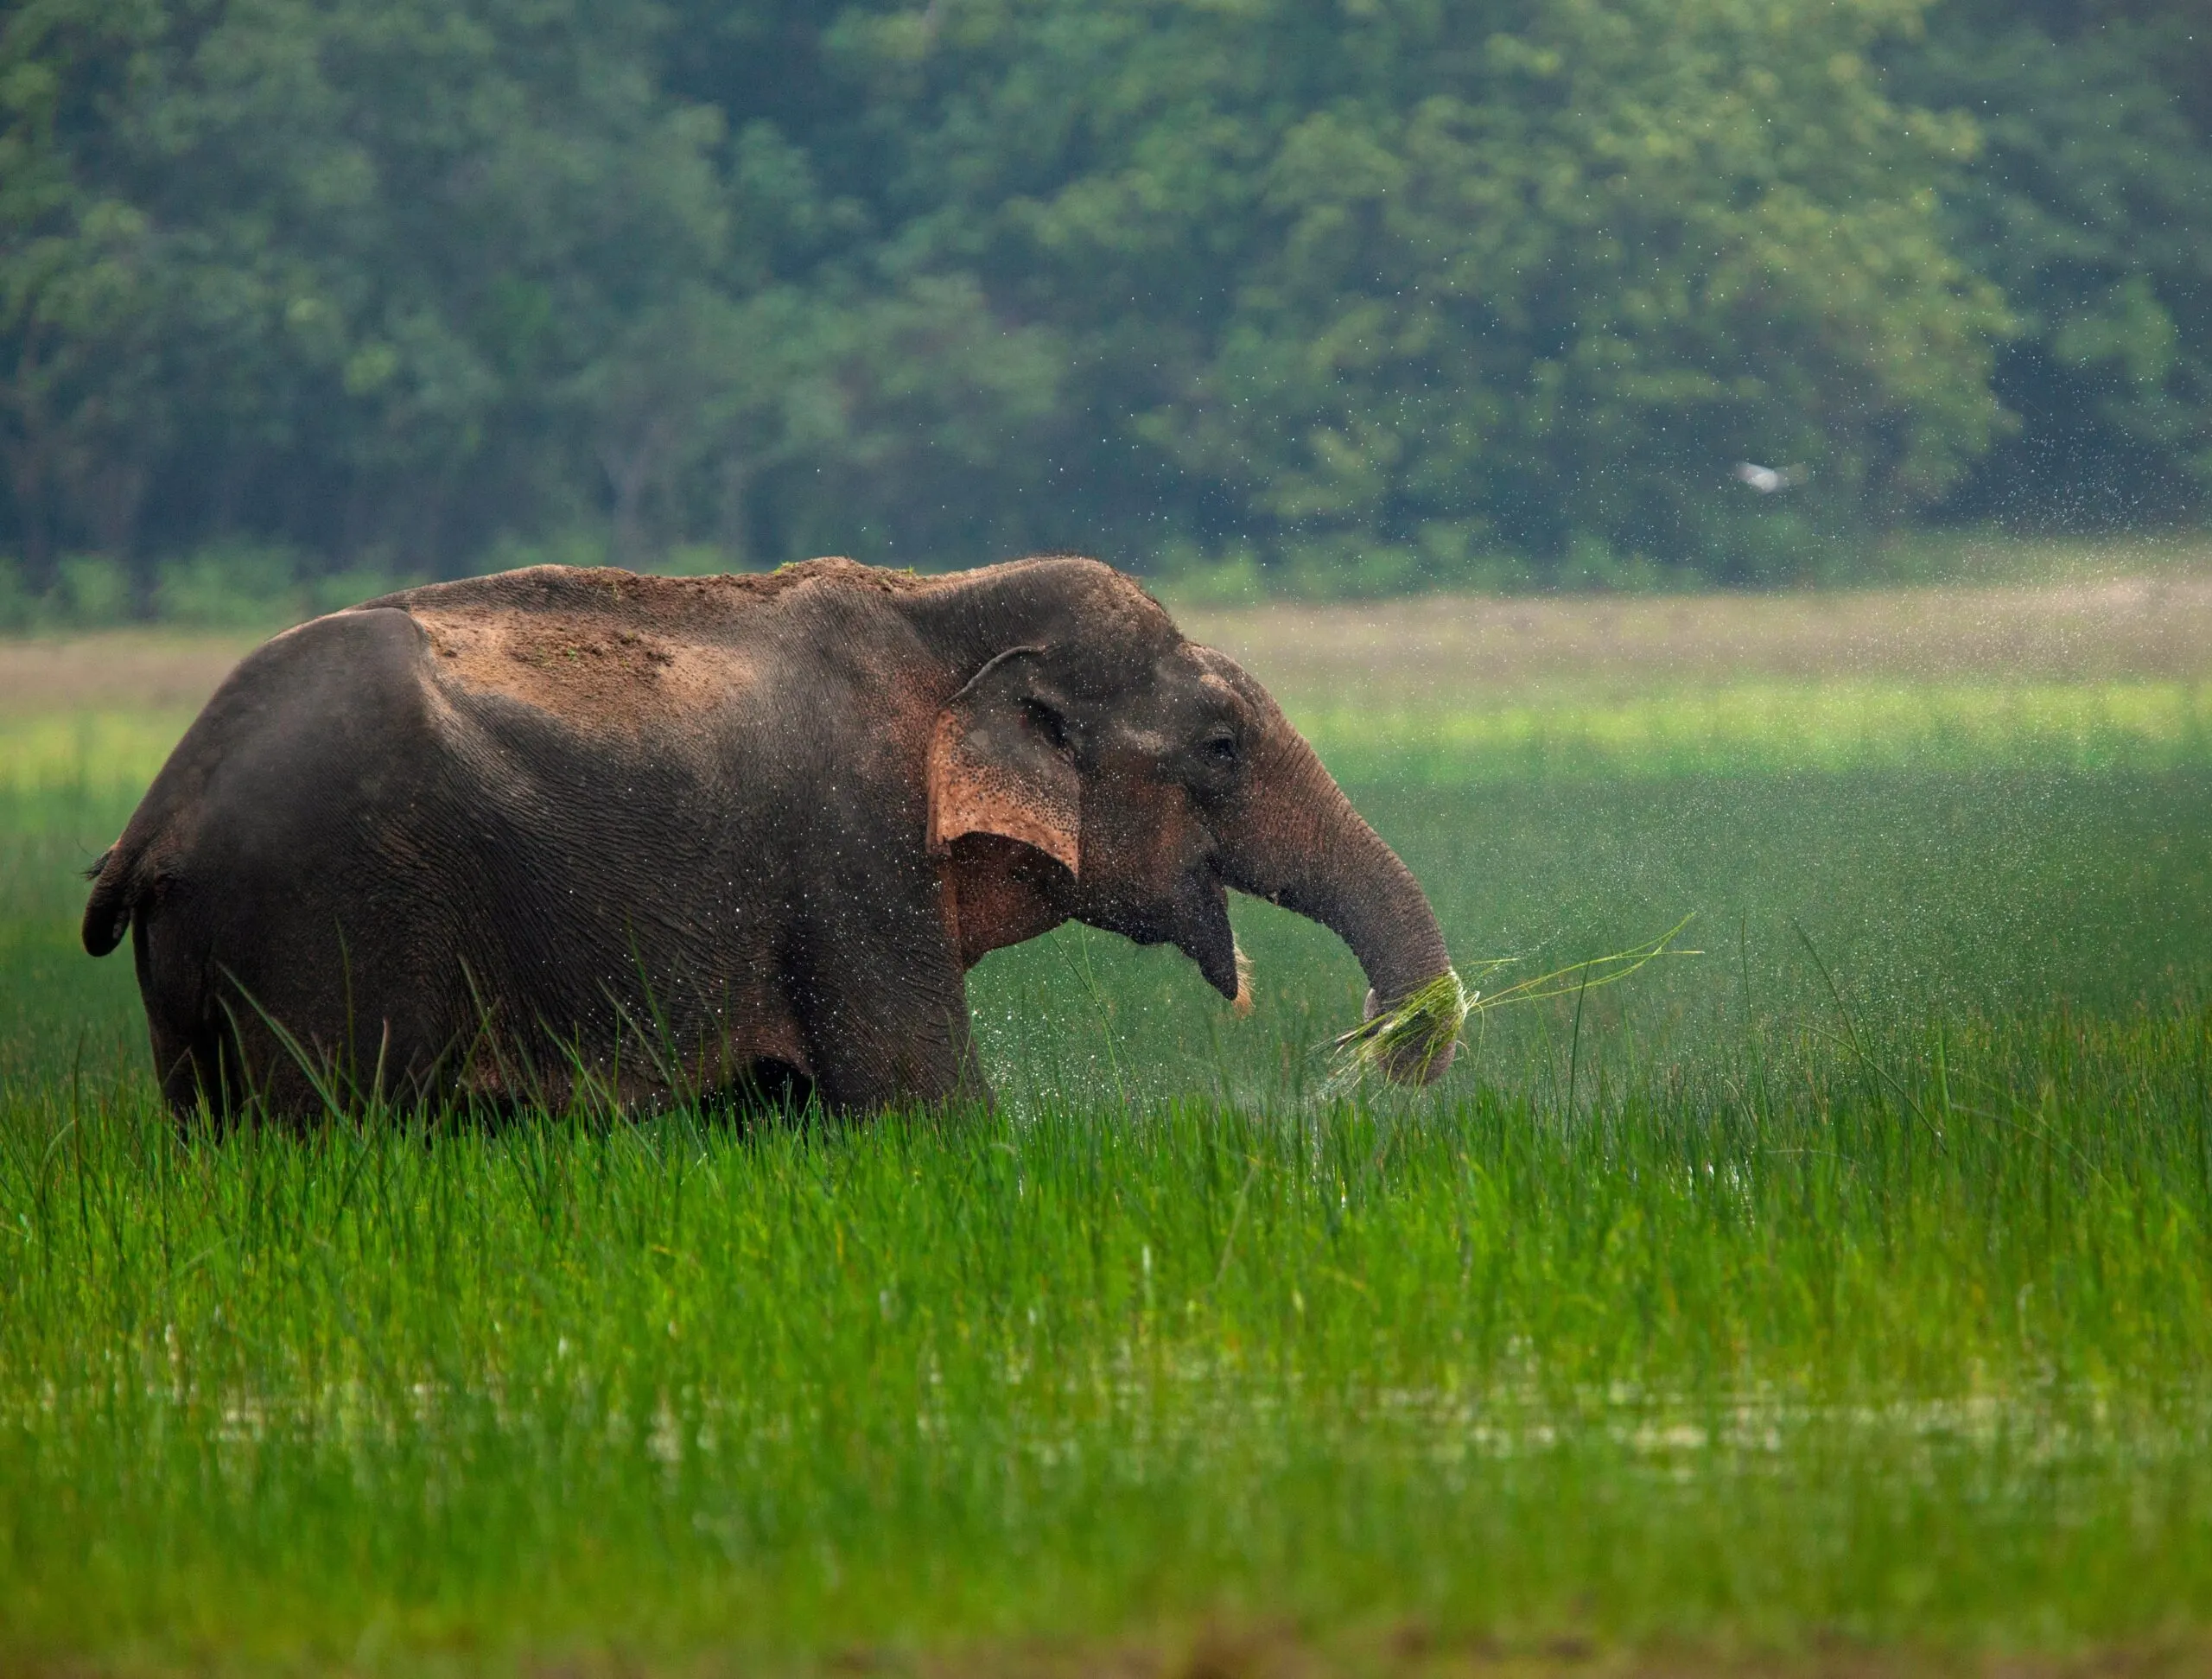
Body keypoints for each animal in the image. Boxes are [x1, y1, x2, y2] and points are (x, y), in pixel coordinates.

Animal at [83, 555, 1456, 1119]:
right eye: (1221, 745)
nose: (1387, 1048)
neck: (935, 601)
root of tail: (160, 809)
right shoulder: (853, 854)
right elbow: (921, 1099)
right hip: (326, 921)